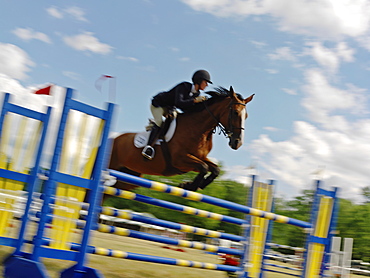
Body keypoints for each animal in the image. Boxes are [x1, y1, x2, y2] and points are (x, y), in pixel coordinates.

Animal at [108, 86, 254, 193]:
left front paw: (195, 185)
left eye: (246, 116)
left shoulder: (198, 158)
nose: (237, 143)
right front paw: (190, 186)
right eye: (235, 112)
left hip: (128, 178)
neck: (199, 129)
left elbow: (214, 169)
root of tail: (114, 139)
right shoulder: (179, 160)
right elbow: (204, 167)